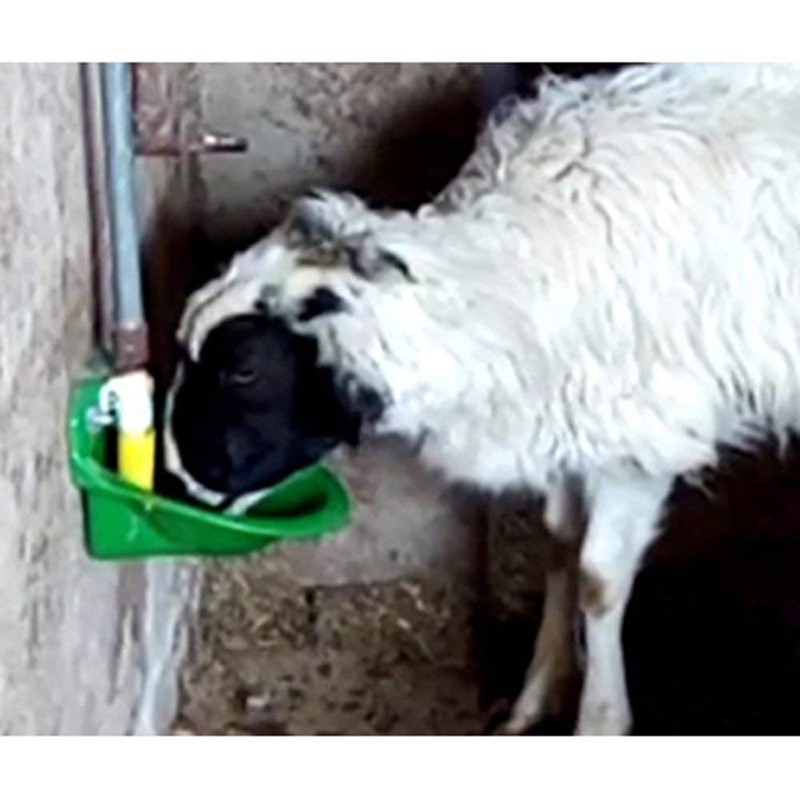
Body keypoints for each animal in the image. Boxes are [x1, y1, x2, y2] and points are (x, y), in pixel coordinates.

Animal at [165, 63, 800, 734]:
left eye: (243, 369)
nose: (175, 479)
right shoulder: (567, 423)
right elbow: (559, 544)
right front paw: (535, 697)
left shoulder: (637, 442)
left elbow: (599, 579)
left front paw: (599, 720)